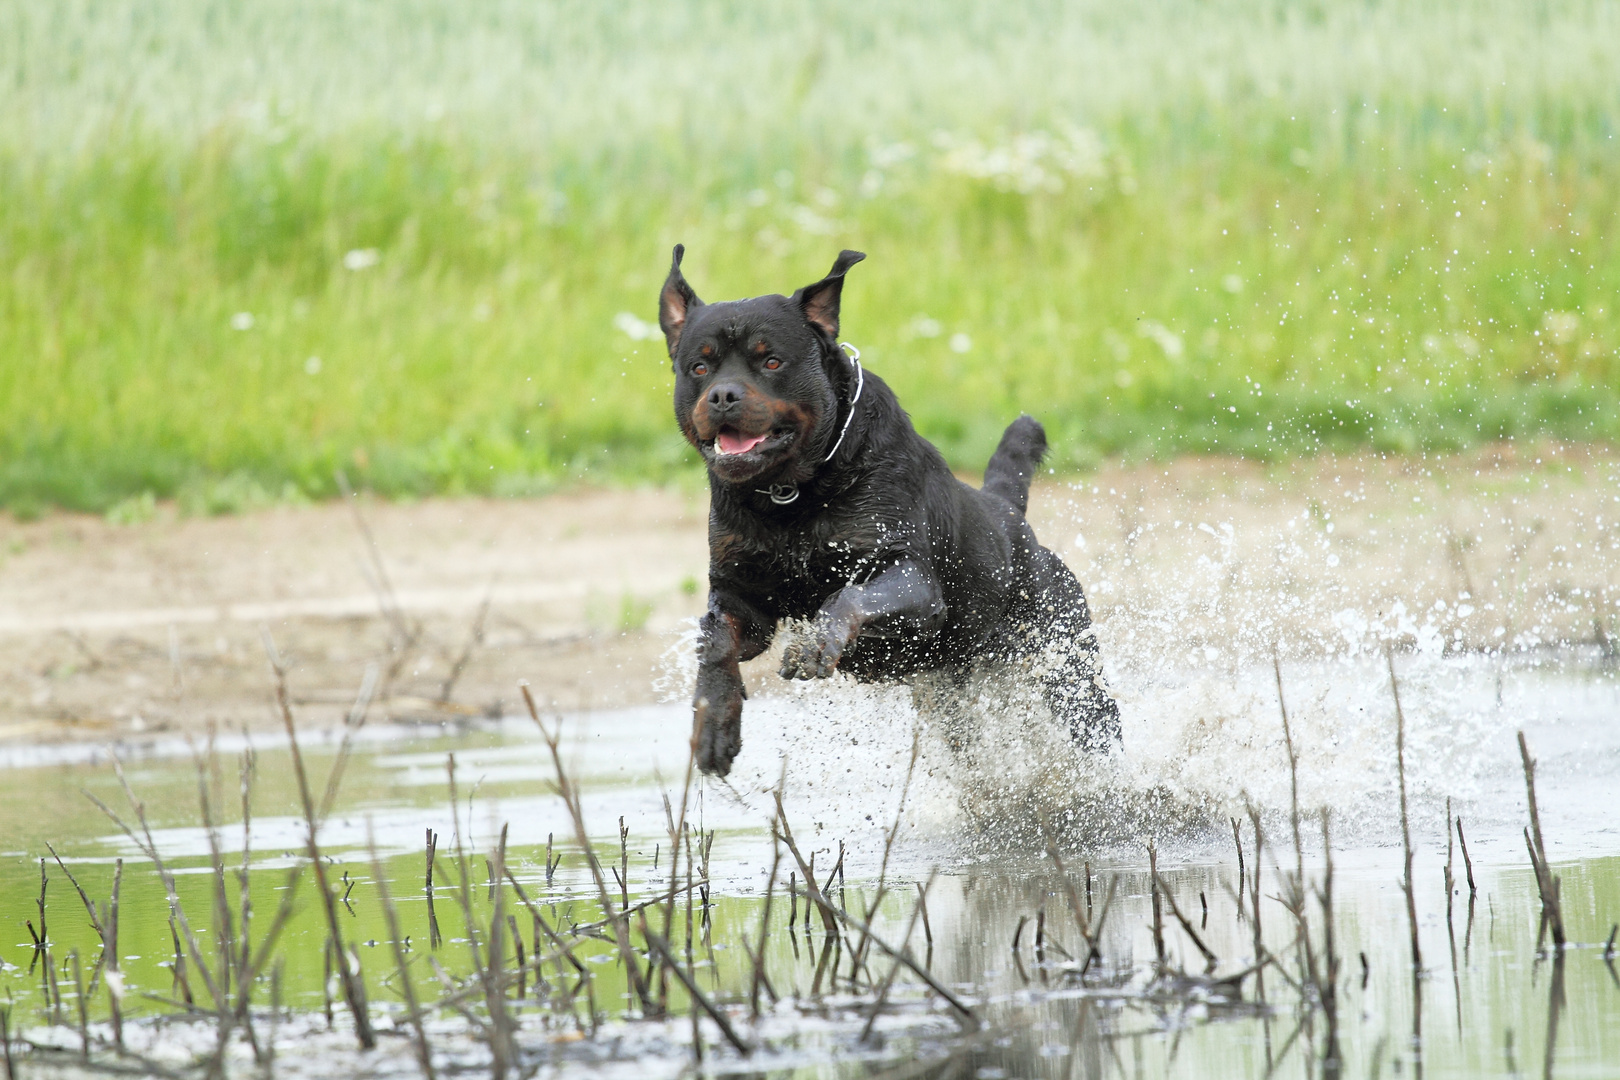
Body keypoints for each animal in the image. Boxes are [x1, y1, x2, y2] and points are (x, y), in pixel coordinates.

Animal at [657, 246, 1114, 777]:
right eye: (699, 368)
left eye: (771, 361)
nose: (723, 395)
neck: (788, 497)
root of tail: (1010, 515)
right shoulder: (742, 593)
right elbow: (716, 639)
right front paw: (713, 722)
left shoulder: (912, 580)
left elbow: (849, 597)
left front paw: (816, 644)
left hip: (1068, 663)